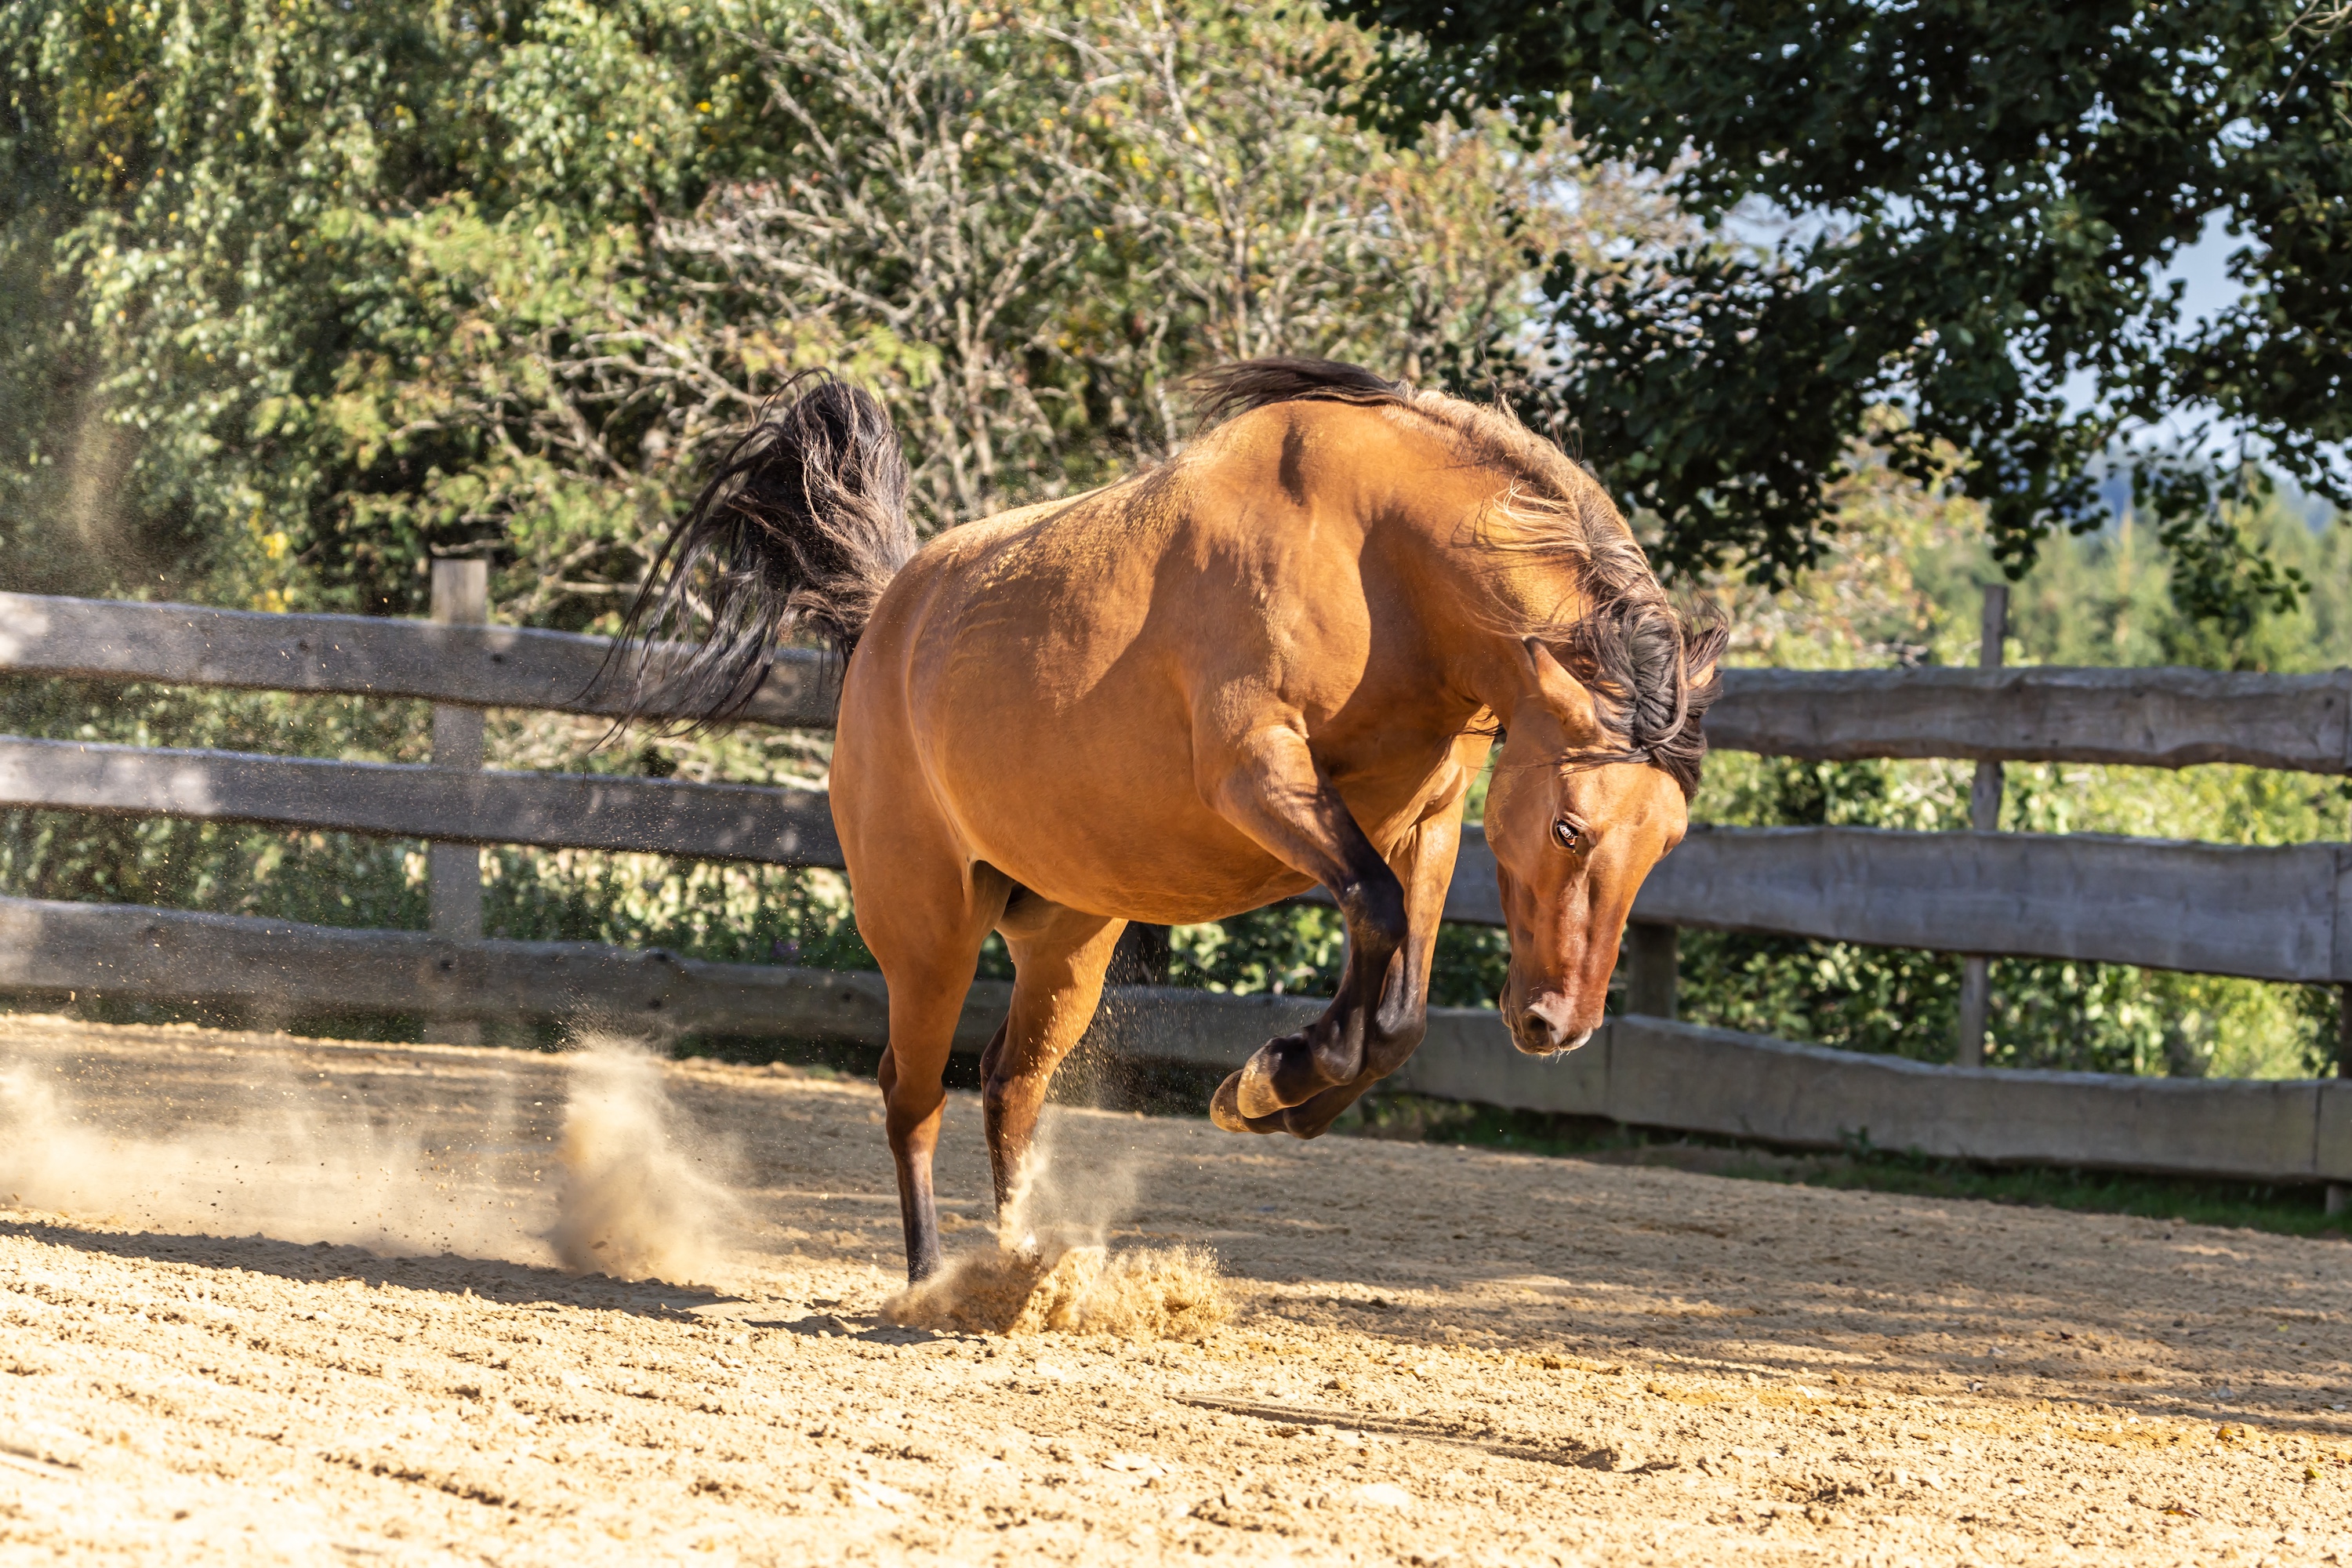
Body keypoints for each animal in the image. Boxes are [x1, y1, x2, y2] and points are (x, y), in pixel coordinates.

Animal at [630, 358, 1724, 1282]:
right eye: (1571, 827)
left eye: (1665, 844)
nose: (1557, 1026)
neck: (1380, 558)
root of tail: (890, 616)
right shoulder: (1259, 772)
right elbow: (1371, 908)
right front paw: (1280, 1074)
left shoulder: (1434, 818)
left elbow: (1402, 998)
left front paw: (1284, 1082)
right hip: (927, 928)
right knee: (915, 1090)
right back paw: (932, 1277)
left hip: (1069, 939)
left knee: (1008, 1085)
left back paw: (1019, 1267)